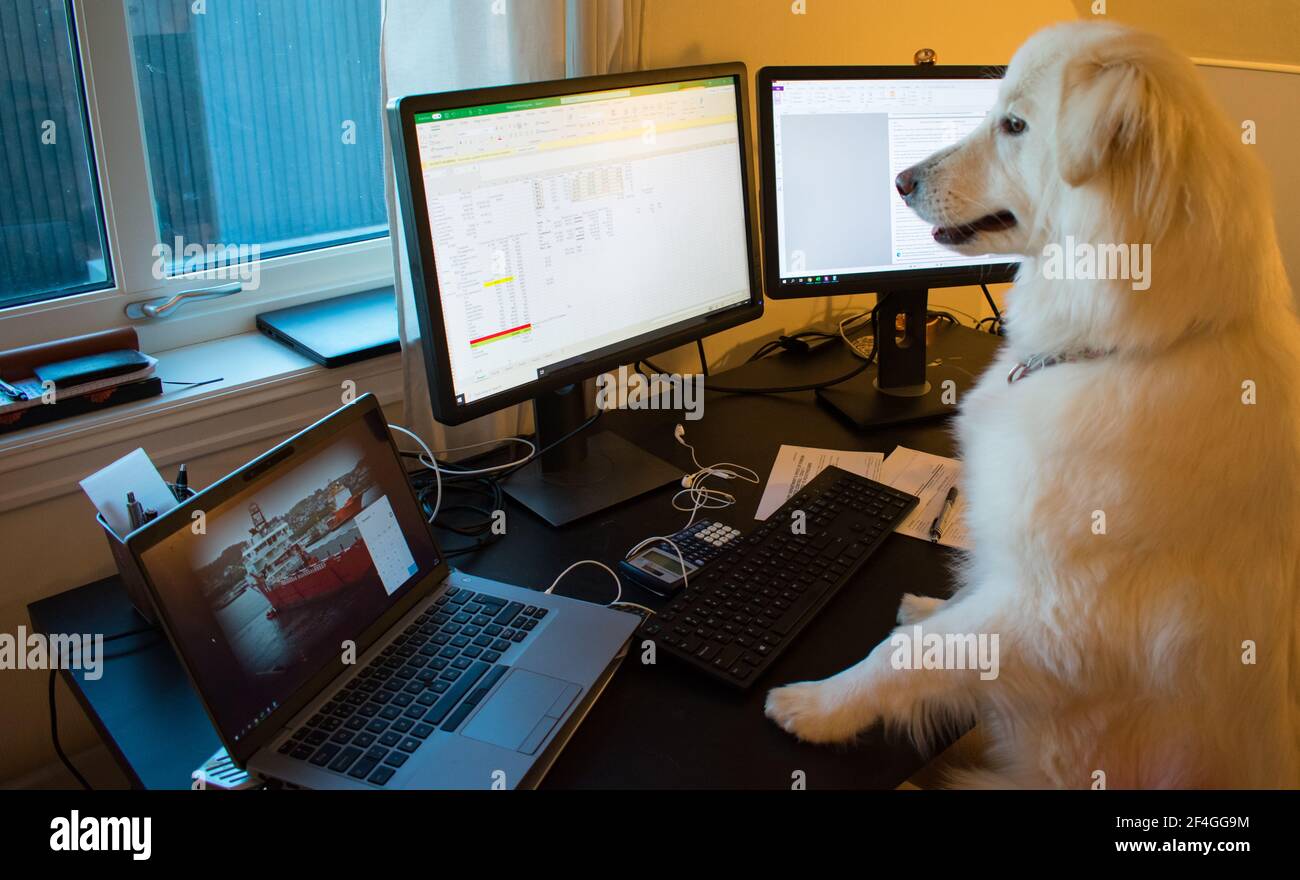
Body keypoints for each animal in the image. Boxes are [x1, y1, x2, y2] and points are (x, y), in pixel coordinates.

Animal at [759, 20, 1300, 790]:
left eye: (1014, 125)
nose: (900, 179)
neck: (1127, 343)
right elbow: (951, 618)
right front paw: (928, 605)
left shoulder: (1056, 615)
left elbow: (909, 657)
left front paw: (818, 706)